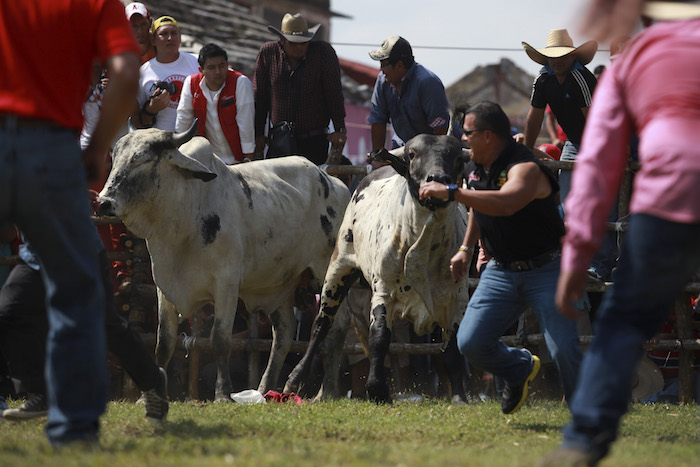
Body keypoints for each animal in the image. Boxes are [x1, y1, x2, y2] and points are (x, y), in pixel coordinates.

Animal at [98, 124, 350, 402]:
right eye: (115, 158)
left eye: (141, 159)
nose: (103, 202)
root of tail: (336, 183)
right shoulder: (165, 286)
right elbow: (164, 341)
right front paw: (148, 397)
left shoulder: (226, 283)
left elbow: (219, 339)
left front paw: (222, 393)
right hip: (280, 283)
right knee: (284, 334)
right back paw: (265, 390)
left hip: (328, 271)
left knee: (336, 326)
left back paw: (326, 392)